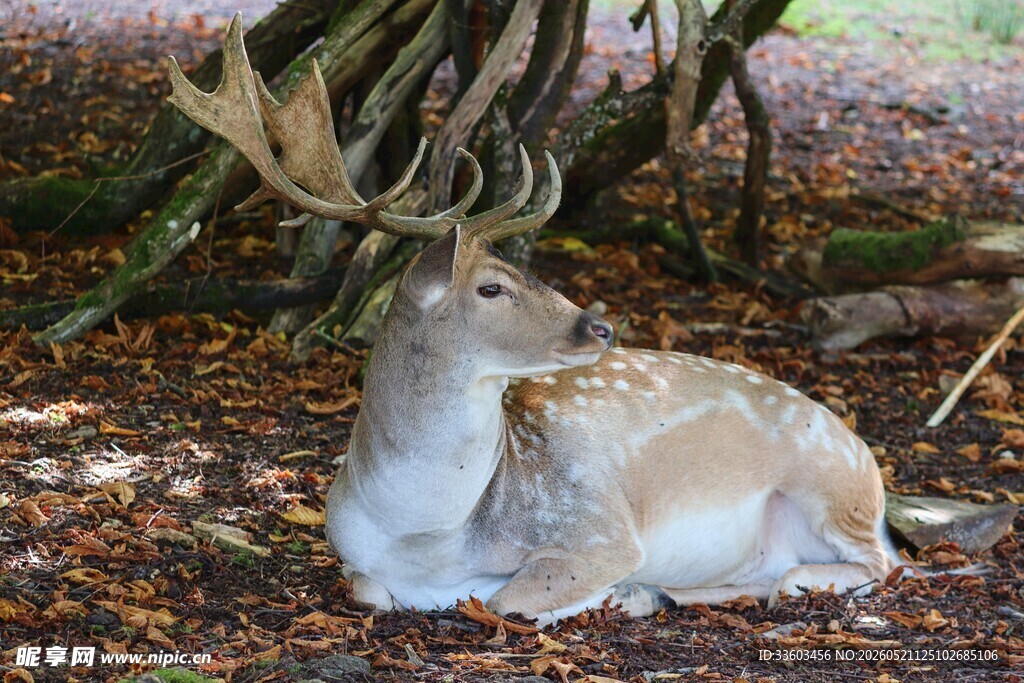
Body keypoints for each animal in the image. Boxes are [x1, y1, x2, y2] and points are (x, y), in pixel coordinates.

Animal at [167, 15, 899, 625]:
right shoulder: (352, 556)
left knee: (877, 565)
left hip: (830, 488)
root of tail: (870, 460)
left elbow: (507, 599)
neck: (427, 533)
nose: (599, 328)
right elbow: (372, 590)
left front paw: (606, 593)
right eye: (492, 287)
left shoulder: (599, 528)